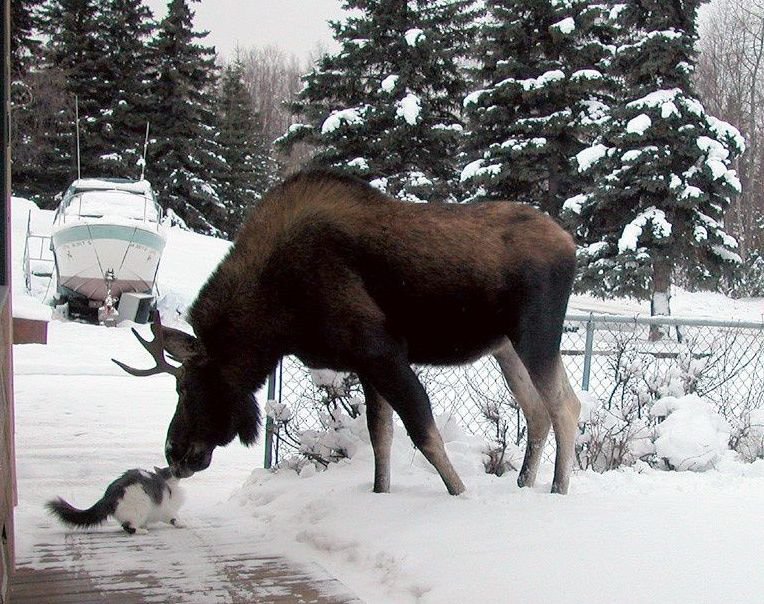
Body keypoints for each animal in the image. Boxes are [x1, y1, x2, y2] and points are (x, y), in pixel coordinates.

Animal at [47, 464, 186, 536]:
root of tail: (108, 495)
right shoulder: (166, 509)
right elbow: (174, 518)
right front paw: (181, 524)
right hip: (140, 507)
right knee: (128, 527)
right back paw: (142, 531)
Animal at [115, 170, 580, 496]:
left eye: (188, 388)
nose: (174, 452)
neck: (276, 318)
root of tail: (571, 244)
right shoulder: (367, 365)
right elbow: (380, 438)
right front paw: (381, 491)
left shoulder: (381, 351)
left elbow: (424, 434)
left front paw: (461, 494)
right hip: (505, 347)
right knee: (537, 411)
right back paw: (524, 485)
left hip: (536, 336)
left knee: (566, 406)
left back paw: (558, 489)